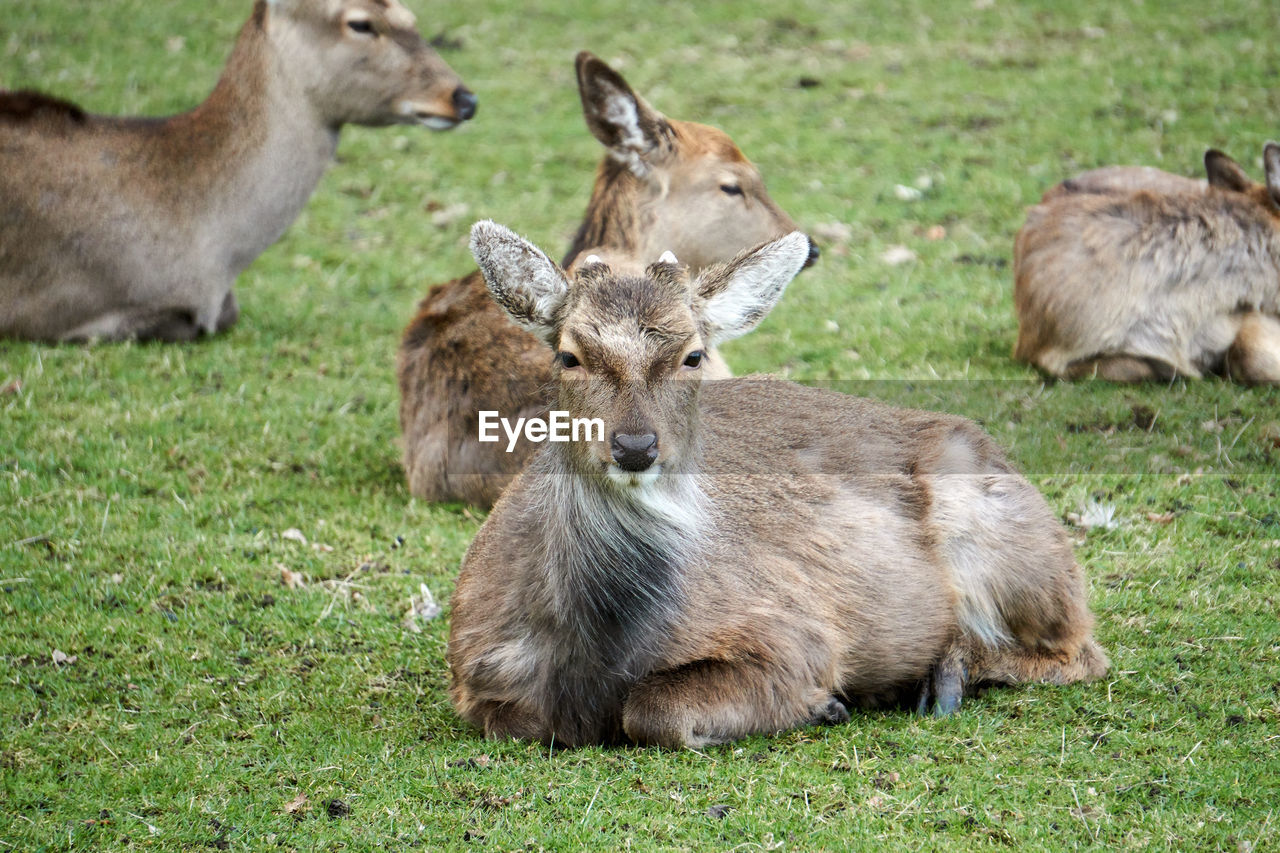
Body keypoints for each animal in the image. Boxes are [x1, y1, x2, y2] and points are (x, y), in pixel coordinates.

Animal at [450, 222, 1111, 747]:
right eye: (569, 355)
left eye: (694, 355)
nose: (635, 446)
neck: (596, 649)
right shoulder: (475, 675)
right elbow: (517, 721)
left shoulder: (793, 632)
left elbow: (655, 710)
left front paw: (825, 704)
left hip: (1009, 544)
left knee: (1082, 652)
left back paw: (941, 678)